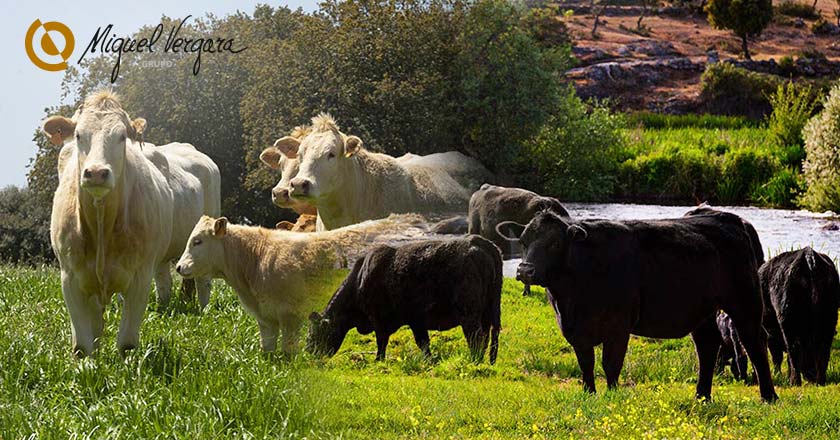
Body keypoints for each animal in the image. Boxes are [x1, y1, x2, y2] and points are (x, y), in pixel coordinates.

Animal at [44, 91, 221, 356]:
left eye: (121, 136)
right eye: (78, 135)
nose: (96, 173)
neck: (101, 224)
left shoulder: (139, 278)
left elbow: (127, 342)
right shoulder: (71, 278)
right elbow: (83, 344)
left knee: (203, 282)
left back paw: (204, 310)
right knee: (164, 282)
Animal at [304, 235, 498, 362]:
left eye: (311, 335)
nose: (306, 354)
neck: (359, 280)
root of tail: (478, 241)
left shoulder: (381, 318)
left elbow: (383, 341)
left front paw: (378, 361)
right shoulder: (416, 320)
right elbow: (423, 343)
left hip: (469, 312)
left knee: (476, 336)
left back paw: (474, 361)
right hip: (490, 309)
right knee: (490, 335)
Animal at [498, 210, 780, 402]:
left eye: (555, 243)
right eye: (523, 241)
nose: (524, 270)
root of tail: (732, 219)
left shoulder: (618, 326)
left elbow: (610, 364)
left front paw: (611, 394)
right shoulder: (576, 329)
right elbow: (586, 363)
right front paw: (589, 393)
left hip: (745, 301)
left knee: (754, 342)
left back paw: (768, 396)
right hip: (704, 311)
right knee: (707, 346)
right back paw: (702, 396)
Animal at [756, 248, 836, 384]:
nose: (810, 375)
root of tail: (809, 256)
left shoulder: (771, 332)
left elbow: (778, 355)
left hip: (788, 323)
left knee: (793, 349)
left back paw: (795, 381)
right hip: (830, 320)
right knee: (824, 349)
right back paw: (820, 380)